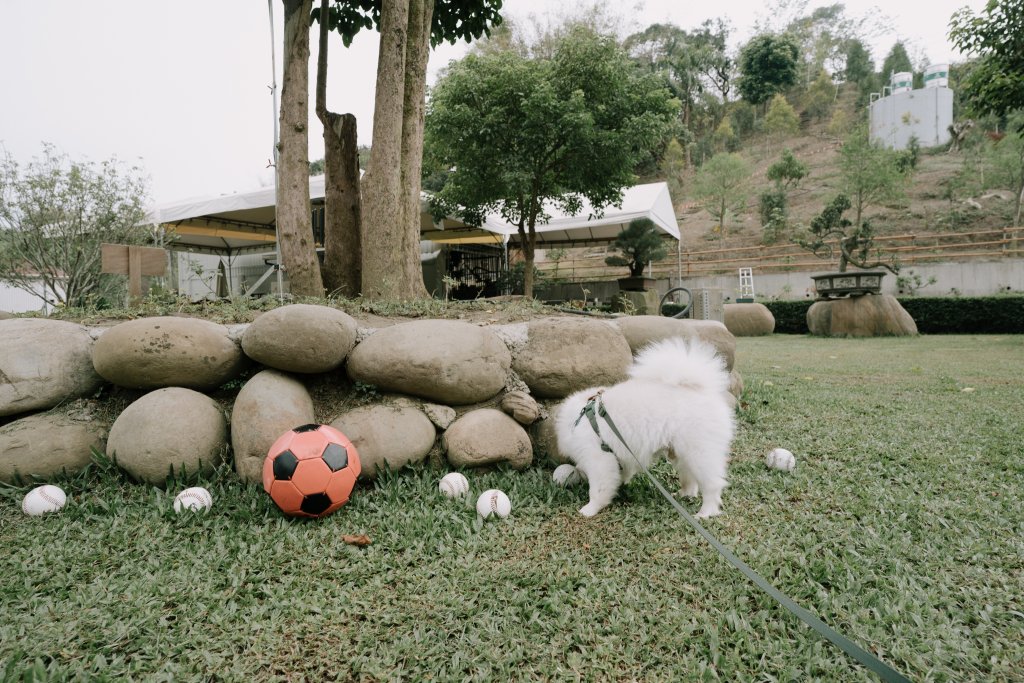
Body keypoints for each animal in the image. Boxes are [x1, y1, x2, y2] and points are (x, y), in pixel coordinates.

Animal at [552, 335, 737, 518]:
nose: (578, 470)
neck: (577, 419)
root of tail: (704, 392)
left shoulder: (599, 459)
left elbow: (598, 490)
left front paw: (589, 509)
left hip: (700, 453)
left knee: (712, 485)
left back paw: (705, 512)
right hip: (681, 452)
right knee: (690, 480)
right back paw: (684, 494)